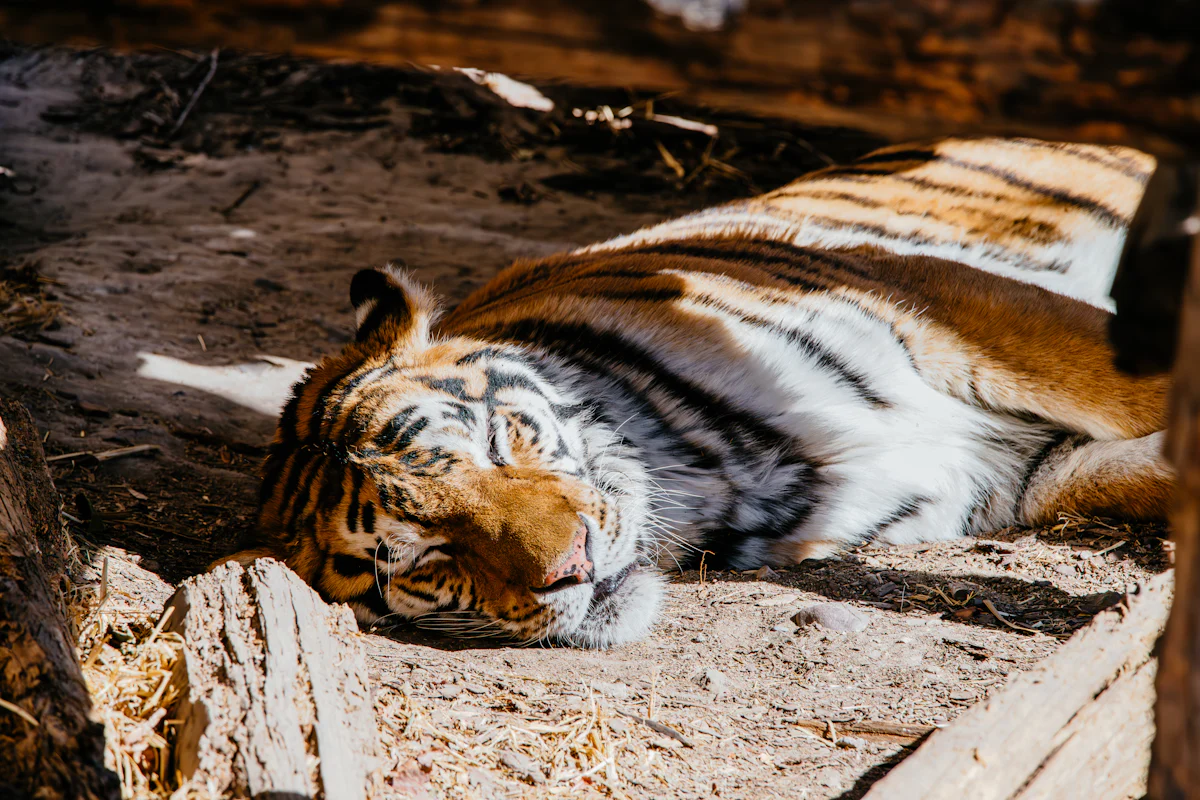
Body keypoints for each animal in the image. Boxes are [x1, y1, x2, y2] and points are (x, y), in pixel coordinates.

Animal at [240, 137, 1172, 648]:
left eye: (498, 443)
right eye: (425, 556)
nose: (574, 567)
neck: (707, 483)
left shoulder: (945, 300)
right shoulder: (1025, 473)